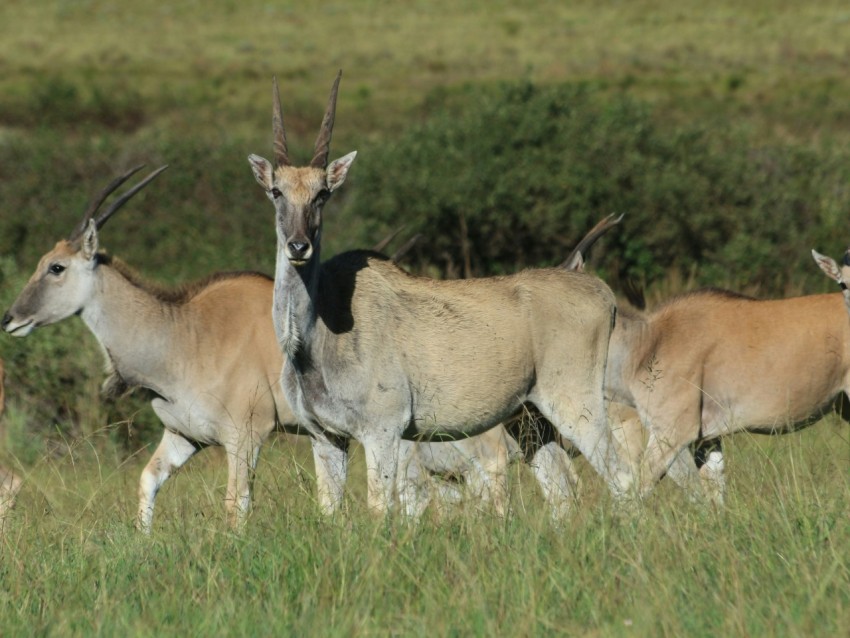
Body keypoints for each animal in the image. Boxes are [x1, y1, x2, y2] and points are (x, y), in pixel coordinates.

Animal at [243, 72, 628, 516]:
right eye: (276, 191)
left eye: (323, 193)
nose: (298, 246)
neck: (316, 336)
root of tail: (601, 292)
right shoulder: (326, 438)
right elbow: (331, 512)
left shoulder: (383, 433)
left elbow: (380, 508)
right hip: (531, 419)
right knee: (562, 492)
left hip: (576, 404)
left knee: (623, 478)